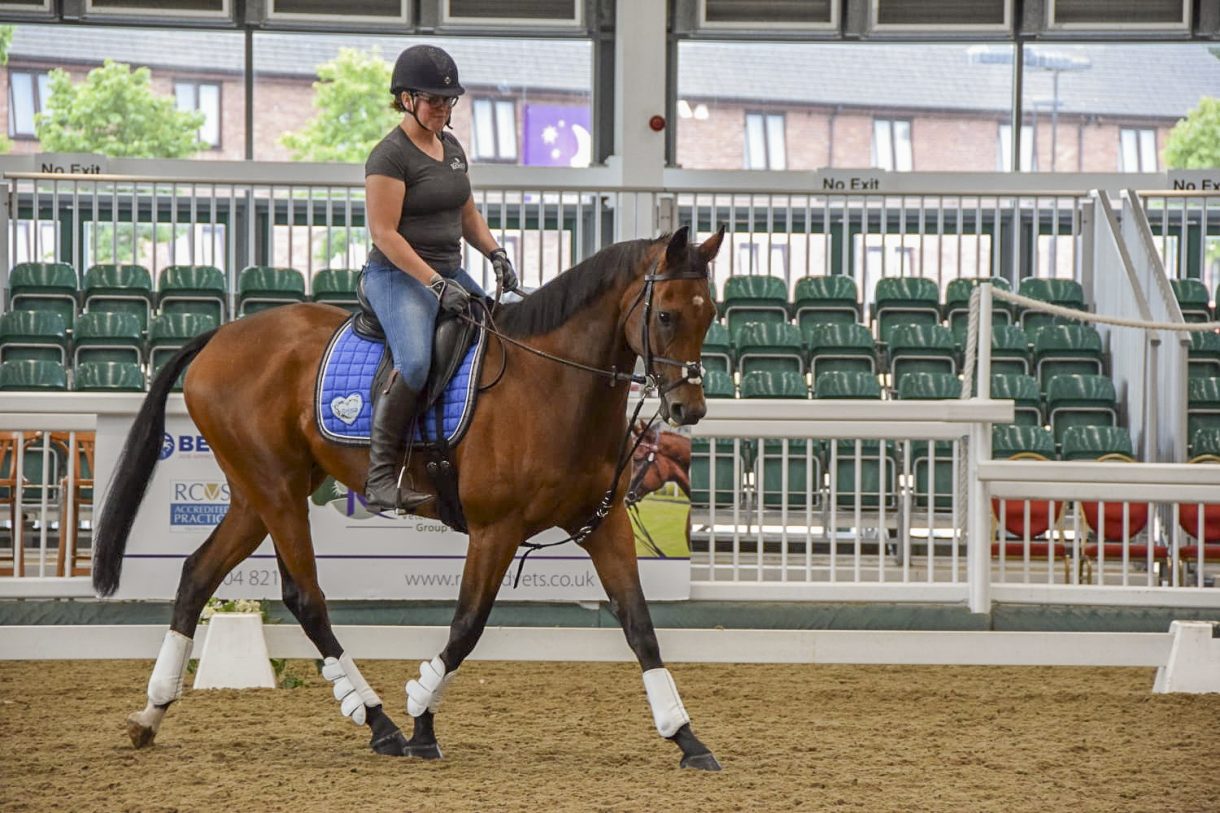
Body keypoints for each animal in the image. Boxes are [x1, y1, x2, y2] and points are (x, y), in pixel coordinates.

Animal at [91, 225, 727, 770]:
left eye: (711, 314)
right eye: (666, 314)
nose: (688, 409)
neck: (554, 387)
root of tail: (221, 335)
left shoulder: (603, 525)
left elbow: (640, 626)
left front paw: (686, 737)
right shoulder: (496, 529)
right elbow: (467, 626)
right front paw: (422, 719)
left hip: (257, 496)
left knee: (199, 574)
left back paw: (151, 713)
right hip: (275, 490)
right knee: (305, 597)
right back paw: (381, 723)